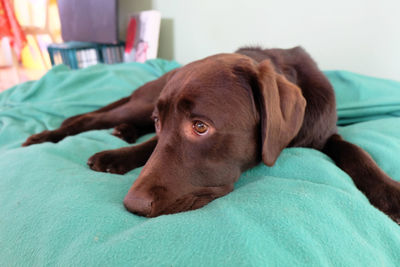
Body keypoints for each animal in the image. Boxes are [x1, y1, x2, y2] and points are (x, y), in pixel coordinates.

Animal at [22, 47, 400, 223]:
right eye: (160, 121)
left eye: (201, 127)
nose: (133, 205)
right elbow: (152, 145)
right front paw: (116, 157)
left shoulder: (324, 133)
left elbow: (355, 151)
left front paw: (389, 192)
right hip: (139, 103)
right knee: (88, 117)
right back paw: (44, 137)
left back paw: (123, 134)